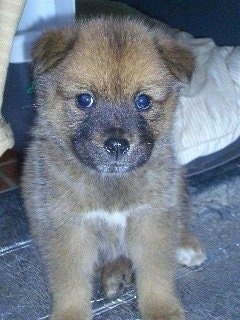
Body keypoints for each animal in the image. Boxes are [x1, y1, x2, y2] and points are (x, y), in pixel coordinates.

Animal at [22, 17, 205, 320]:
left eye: (142, 101)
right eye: (85, 99)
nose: (117, 145)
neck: (110, 182)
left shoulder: (151, 220)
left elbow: (156, 276)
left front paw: (162, 310)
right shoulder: (69, 231)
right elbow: (71, 285)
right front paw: (71, 313)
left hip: (177, 188)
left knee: (181, 220)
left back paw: (186, 245)